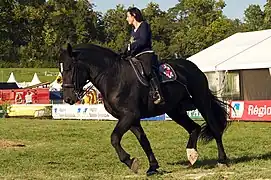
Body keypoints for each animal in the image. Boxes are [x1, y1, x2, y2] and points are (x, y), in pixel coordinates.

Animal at [59, 43, 230, 176]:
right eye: (60, 70)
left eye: (69, 68)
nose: (68, 99)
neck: (113, 77)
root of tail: (193, 67)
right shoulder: (132, 119)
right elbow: (144, 141)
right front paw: (152, 167)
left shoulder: (129, 116)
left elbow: (114, 138)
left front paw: (130, 161)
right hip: (175, 110)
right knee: (194, 128)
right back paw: (192, 155)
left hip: (202, 102)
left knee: (215, 129)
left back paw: (222, 160)